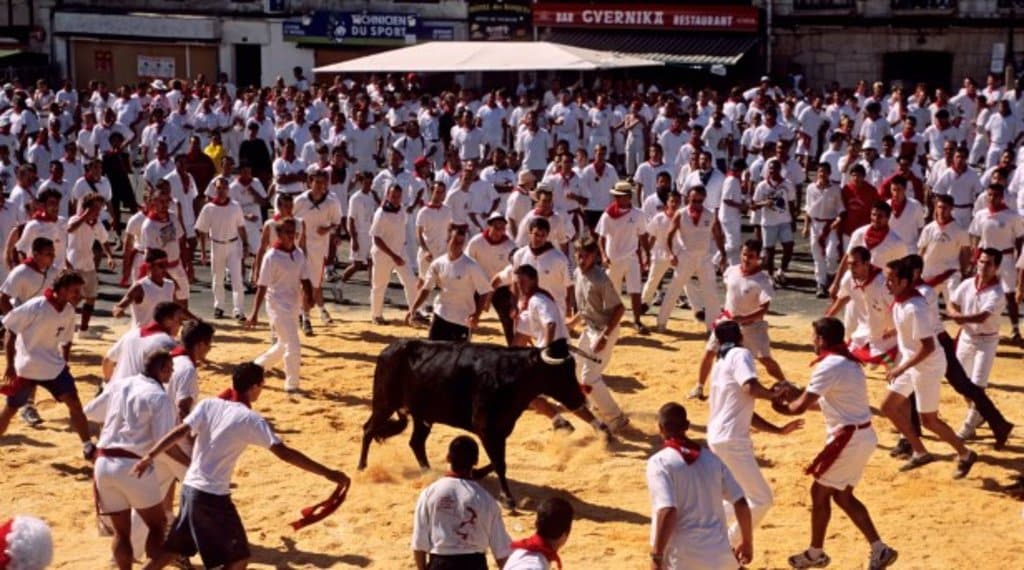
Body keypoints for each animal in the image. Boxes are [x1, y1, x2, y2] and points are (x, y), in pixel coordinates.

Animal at [358, 337, 585, 501]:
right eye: (560, 373)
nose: (580, 399)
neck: (515, 374)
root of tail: (388, 350)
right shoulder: (487, 429)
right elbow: (500, 463)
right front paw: (508, 498)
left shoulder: (501, 429)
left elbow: (497, 461)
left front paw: (475, 473)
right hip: (384, 404)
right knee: (369, 429)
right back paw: (361, 468)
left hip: (422, 416)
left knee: (416, 442)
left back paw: (429, 473)